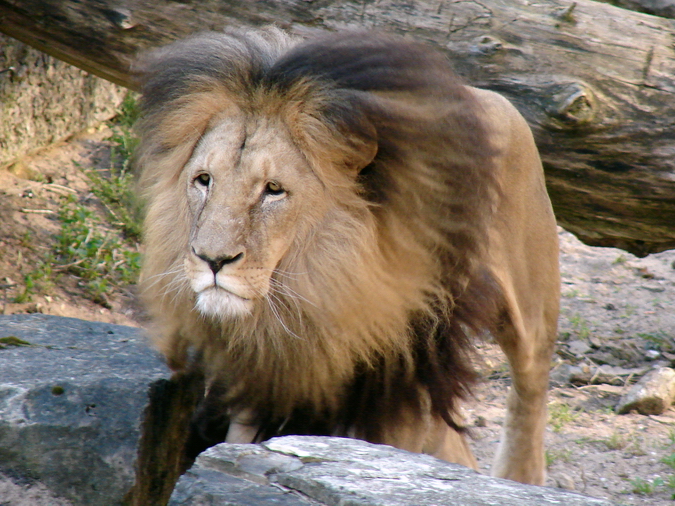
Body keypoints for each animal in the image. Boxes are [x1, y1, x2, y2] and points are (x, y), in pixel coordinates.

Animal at [134, 28, 560, 486]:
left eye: (273, 190)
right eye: (203, 180)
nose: (211, 260)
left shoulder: (400, 382)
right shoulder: (262, 377)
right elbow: (240, 437)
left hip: (531, 304)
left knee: (530, 387)